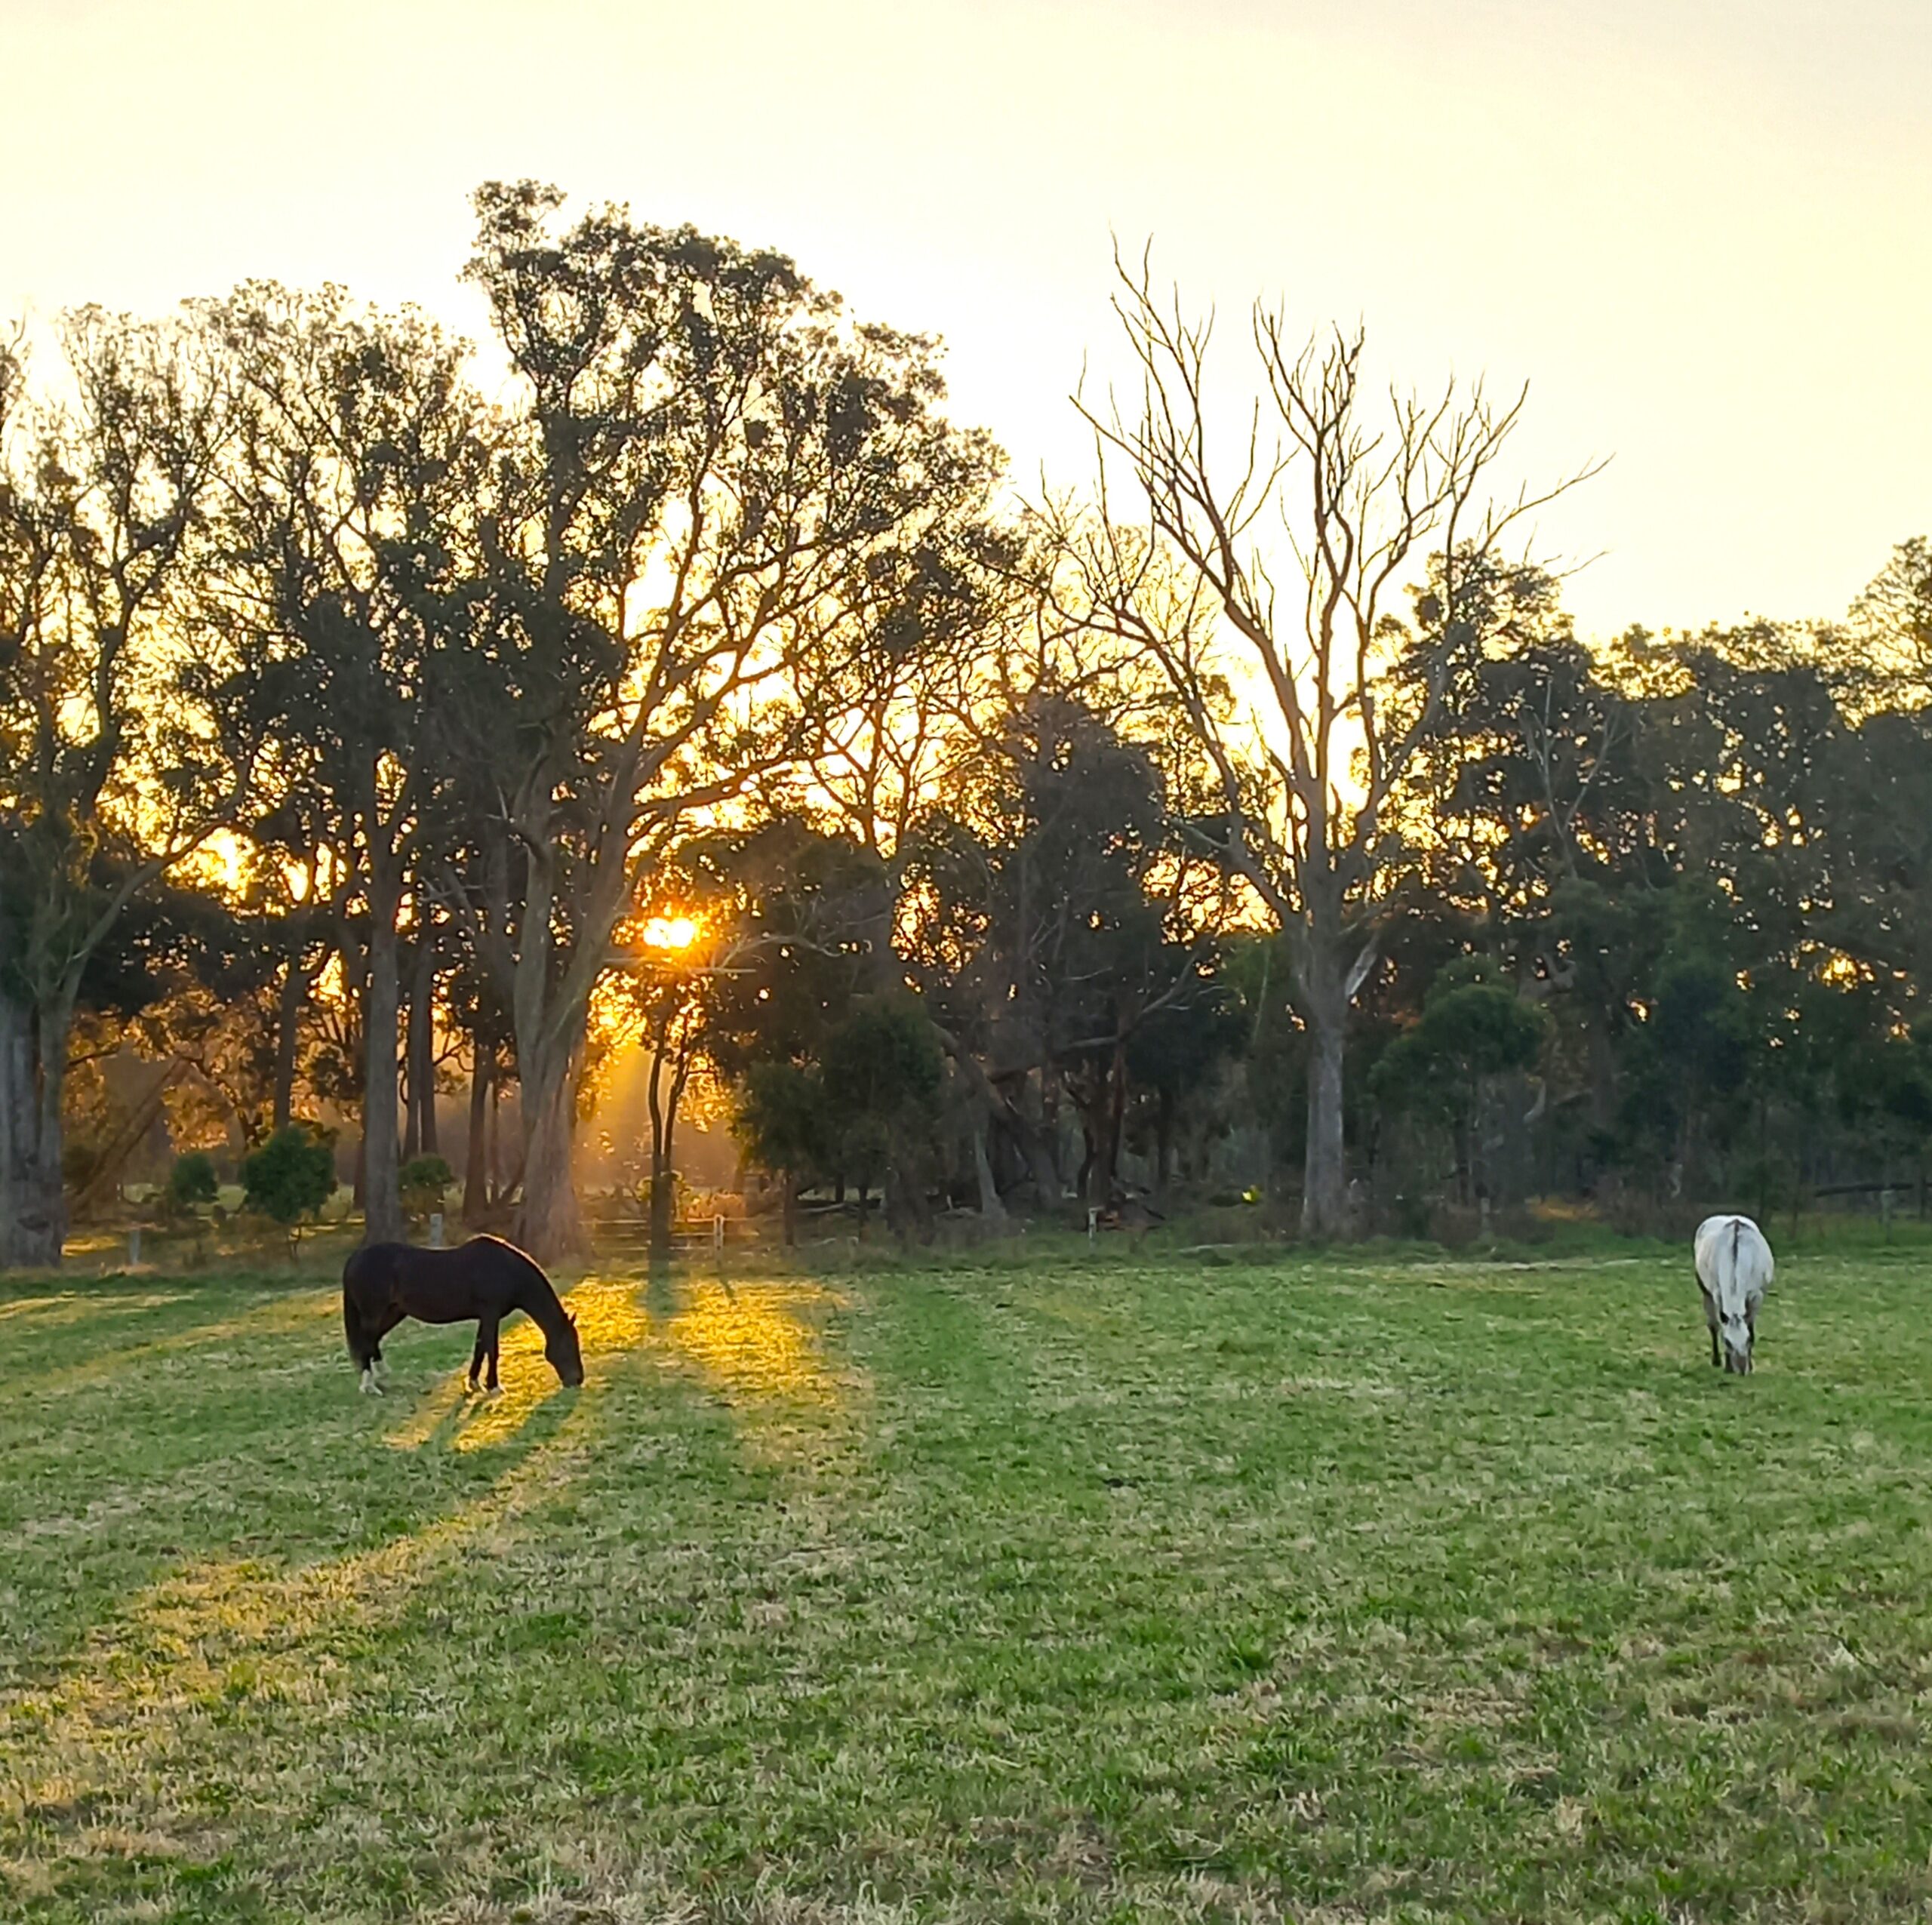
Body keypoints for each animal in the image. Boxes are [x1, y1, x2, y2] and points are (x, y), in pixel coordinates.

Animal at [341, 1235, 584, 1396]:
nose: (578, 1380)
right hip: (374, 1312)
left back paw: (381, 1374)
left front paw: (474, 1382)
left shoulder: (486, 1316)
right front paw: (494, 1386)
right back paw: (369, 1386)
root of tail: (355, 1258)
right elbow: (492, 1349)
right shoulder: (490, 1313)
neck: (506, 1270)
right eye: (569, 1345)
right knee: (366, 1341)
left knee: (373, 1340)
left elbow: (480, 1348)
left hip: (394, 1311)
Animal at [1693, 1213, 1774, 1375]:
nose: (1742, 1369)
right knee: (1713, 1325)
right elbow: (1719, 1327)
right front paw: (1727, 1366)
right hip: (1705, 1290)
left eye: (1747, 1340)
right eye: (1727, 1341)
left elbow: (1751, 1327)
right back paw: (1716, 1360)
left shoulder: (1756, 1296)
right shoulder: (1718, 1295)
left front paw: (1751, 1366)